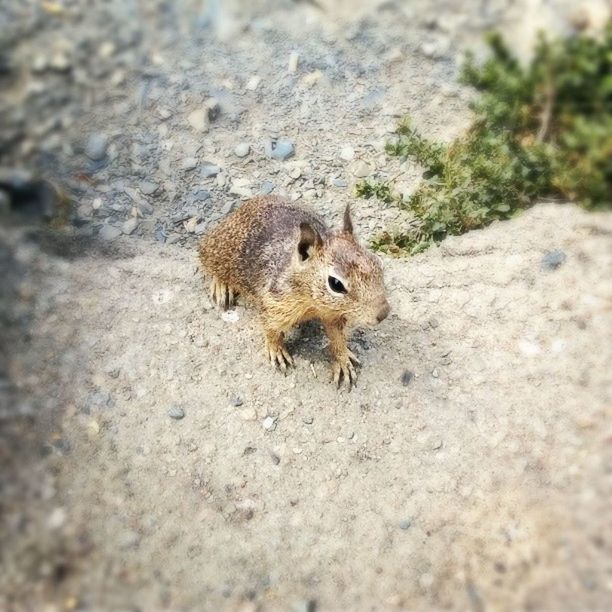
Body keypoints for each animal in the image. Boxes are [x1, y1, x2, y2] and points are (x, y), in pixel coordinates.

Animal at [201, 196, 392, 388]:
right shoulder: (274, 305)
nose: (383, 313)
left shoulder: (333, 315)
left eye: (377, 261)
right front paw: (276, 350)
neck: (312, 303)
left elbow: (337, 337)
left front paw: (343, 358)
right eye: (336, 284)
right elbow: (271, 330)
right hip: (217, 251)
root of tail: (247, 204)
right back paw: (221, 287)